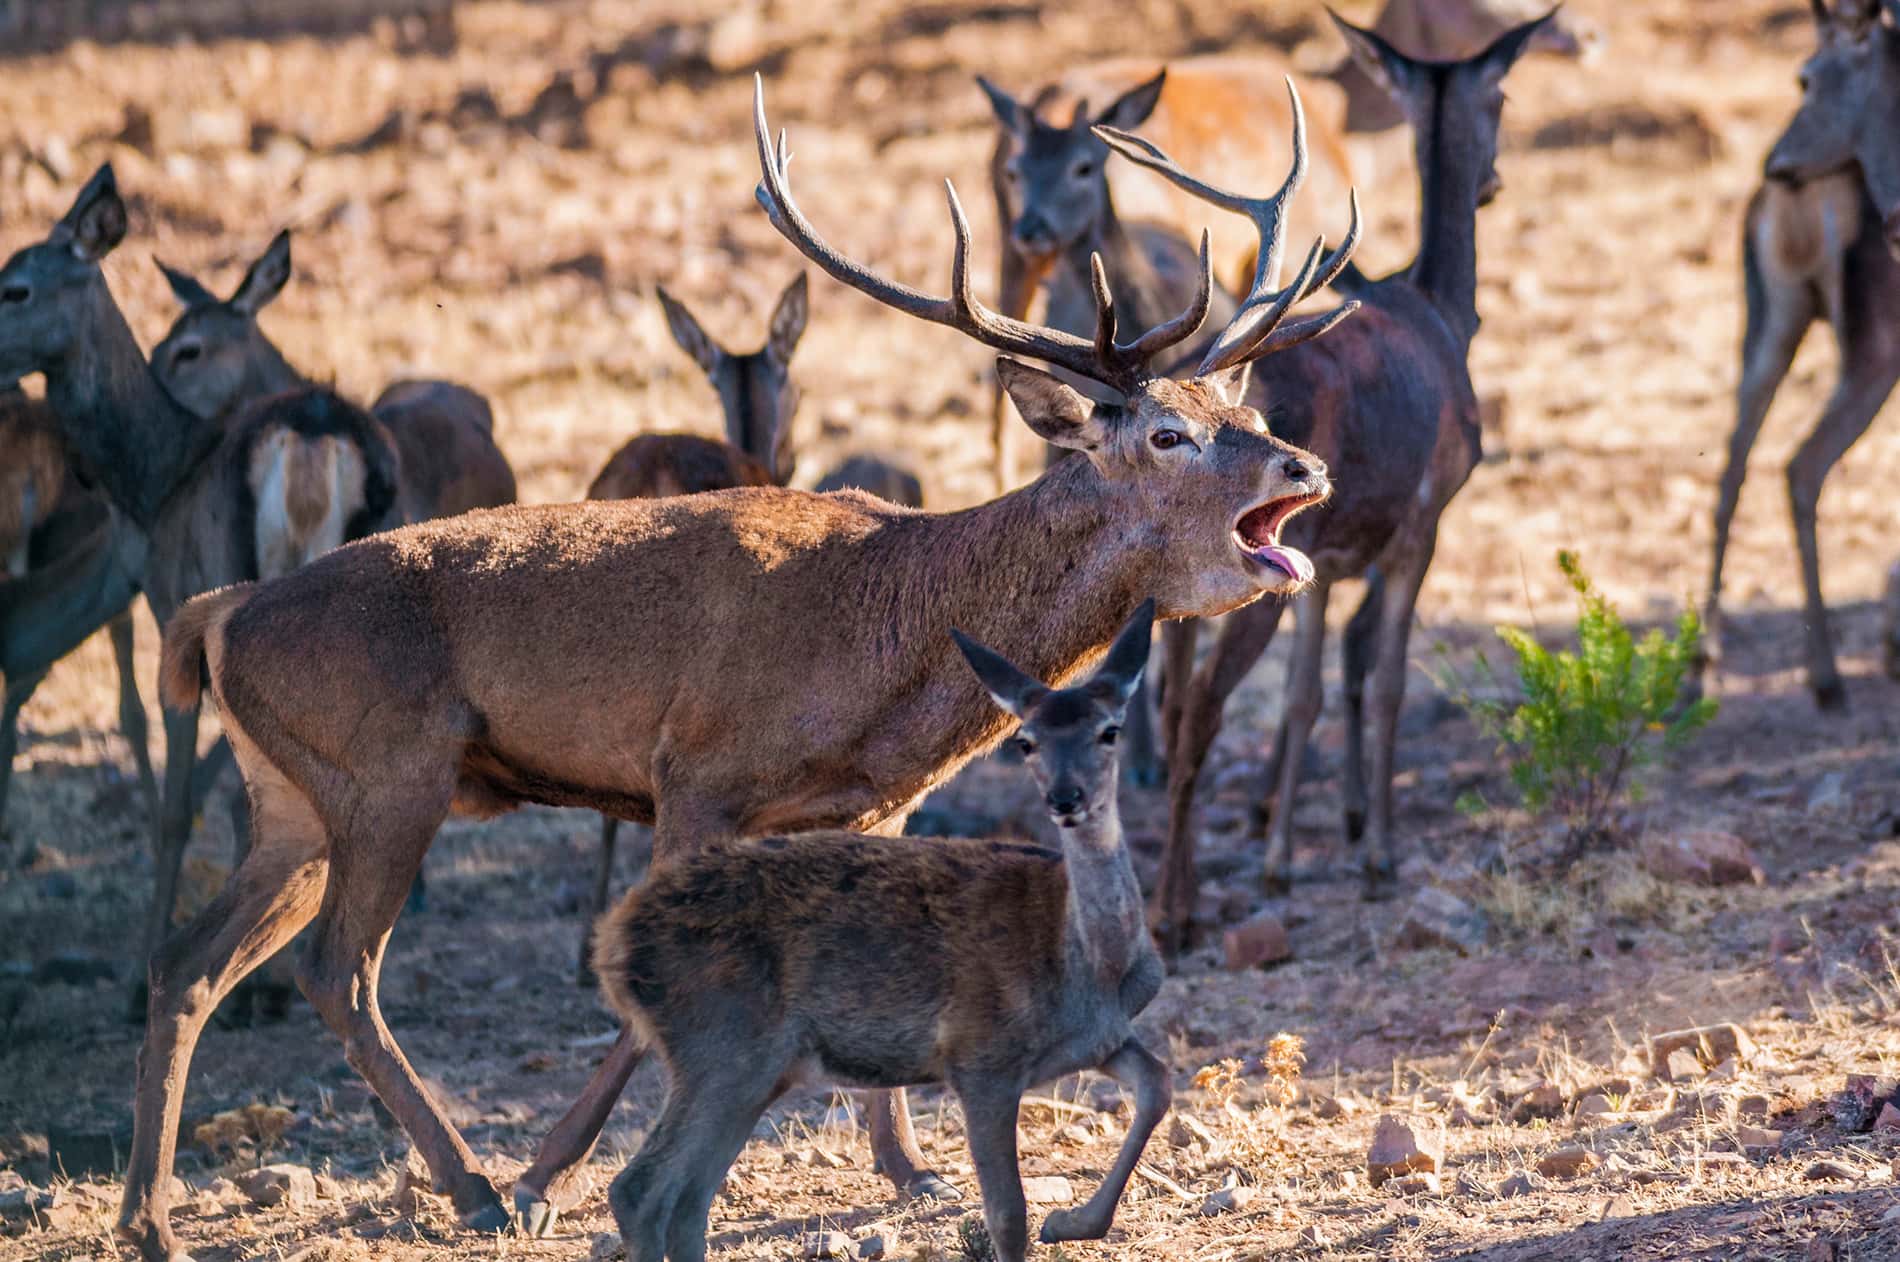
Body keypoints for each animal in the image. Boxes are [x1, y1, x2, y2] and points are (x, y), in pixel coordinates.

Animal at [593, 602, 1168, 1262]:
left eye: (1109, 731)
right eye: (1025, 741)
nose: (1066, 797)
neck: (1090, 967)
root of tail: (613, 950)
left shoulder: (1098, 1038)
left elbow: (1159, 1084)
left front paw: (1072, 1222)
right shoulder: (980, 1055)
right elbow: (1007, 1214)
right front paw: (1049, 1221)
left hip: (756, 1066)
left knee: (683, 1199)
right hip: (722, 1041)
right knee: (642, 1189)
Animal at [1092, 12, 1552, 946]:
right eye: (1504, 98)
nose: (1492, 181)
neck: (1445, 315)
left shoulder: (1327, 560)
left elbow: (1317, 686)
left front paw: (1291, 834)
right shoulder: (1422, 524)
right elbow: (1385, 682)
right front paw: (1372, 851)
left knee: (1172, 701)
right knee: (1200, 710)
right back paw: (1176, 911)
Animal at [1696, 0, 1900, 711]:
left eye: (1805, 78)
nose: (1775, 162)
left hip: (1773, 325)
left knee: (1734, 464)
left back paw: (1699, 667)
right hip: (1871, 350)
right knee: (1801, 466)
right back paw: (1829, 677)